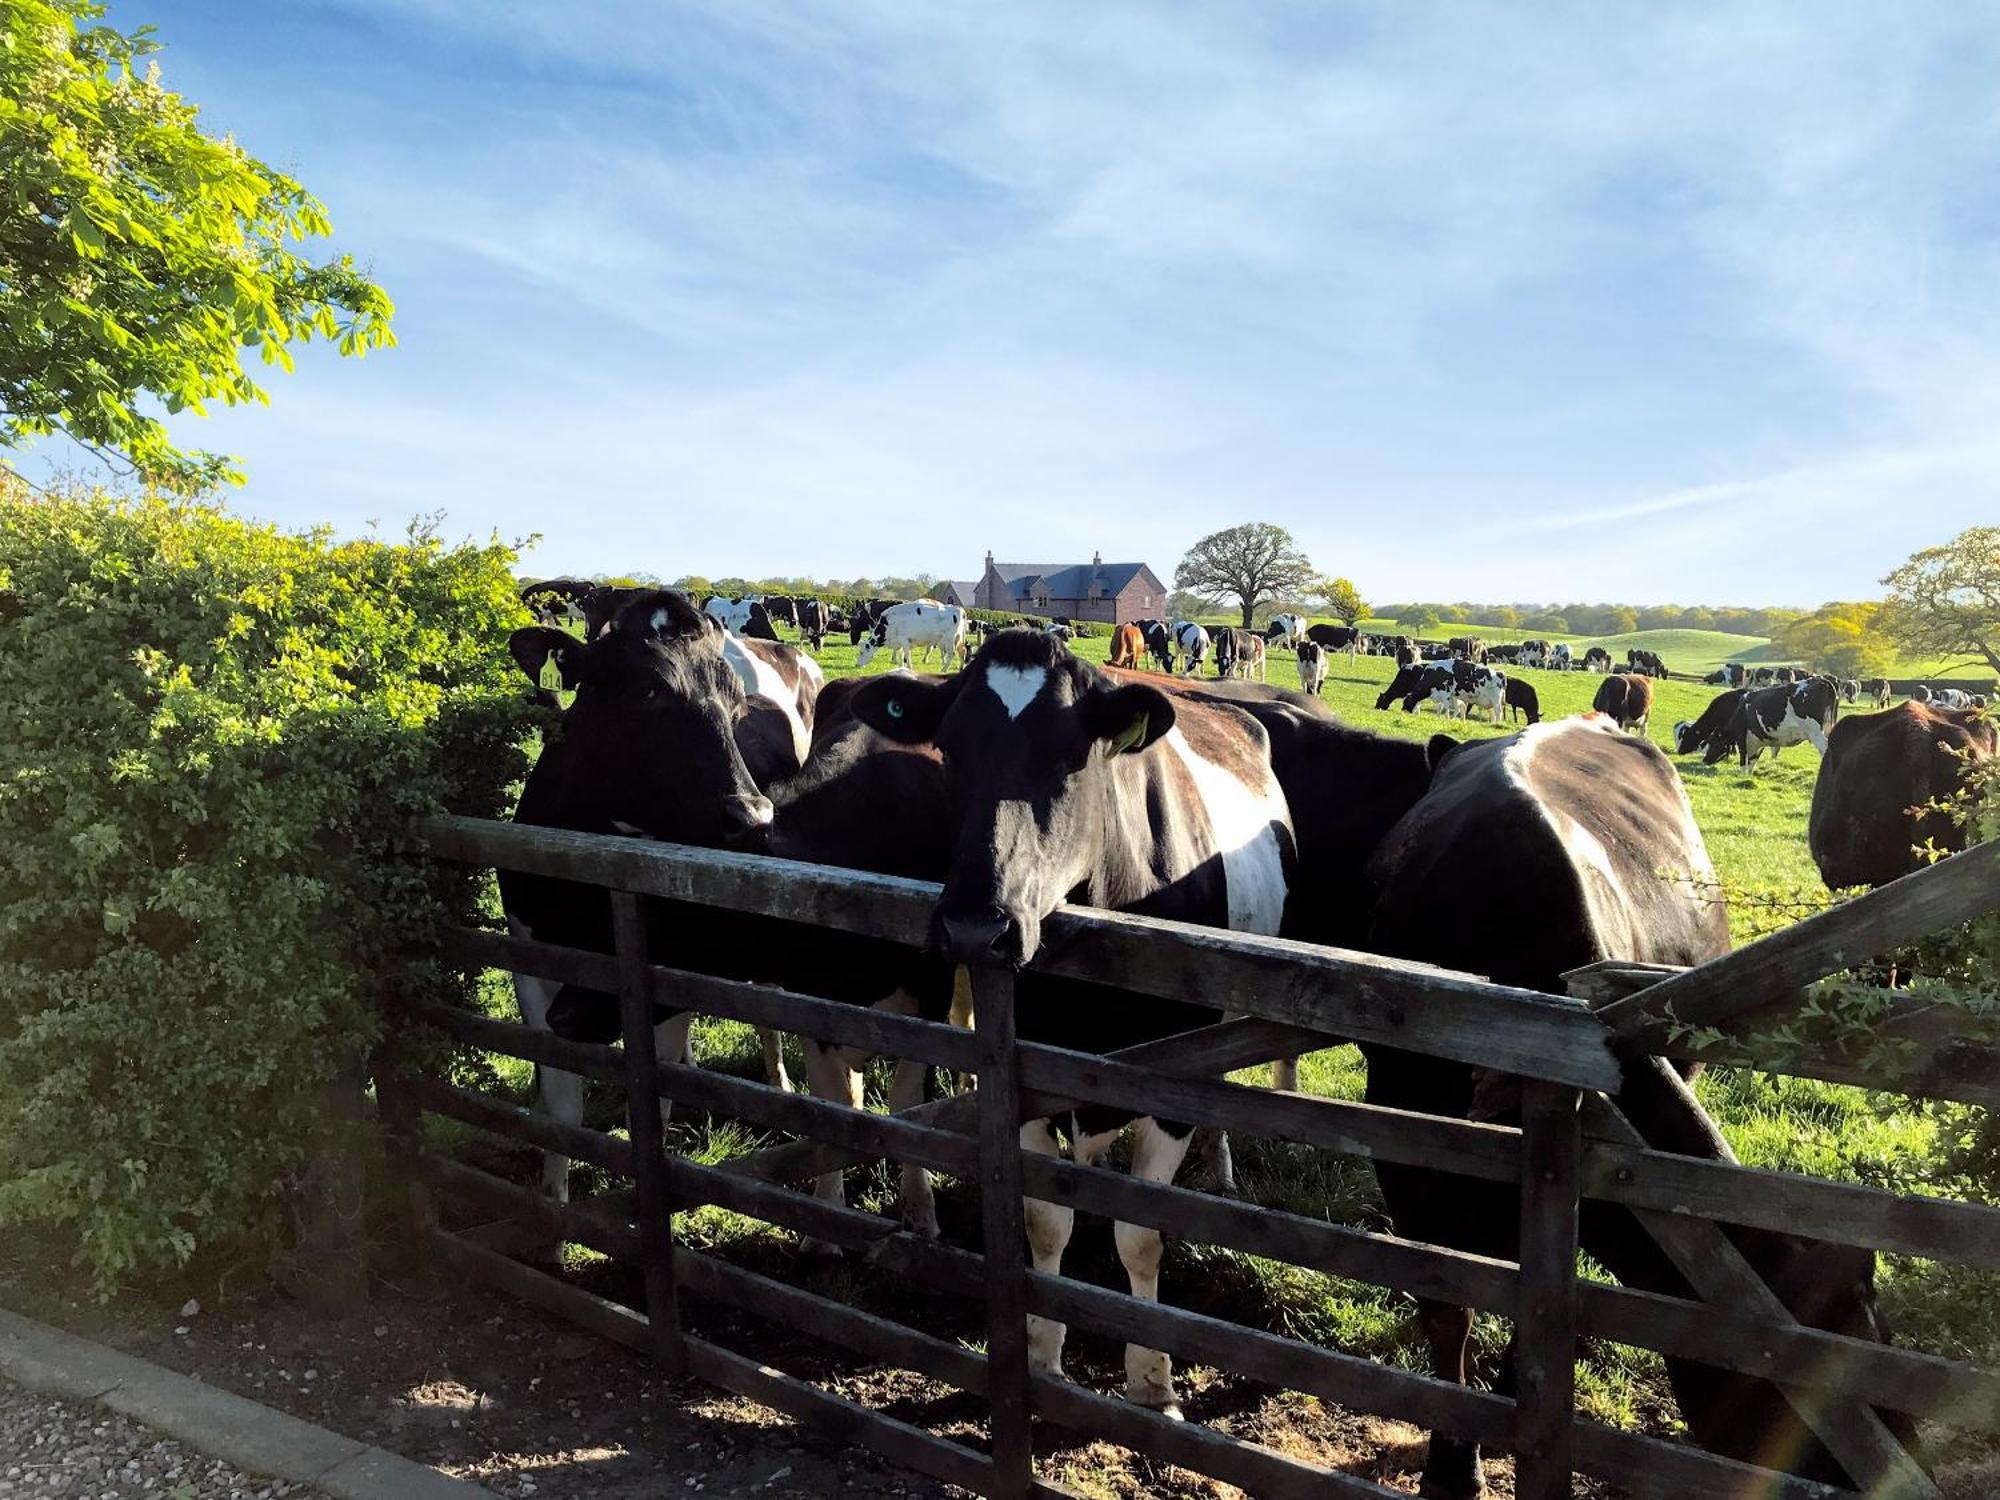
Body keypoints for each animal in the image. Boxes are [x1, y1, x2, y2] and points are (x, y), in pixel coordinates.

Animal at [848, 632, 1296, 1424]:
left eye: (1071, 754)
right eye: (950, 747)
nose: (976, 925)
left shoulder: (1168, 1084)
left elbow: (1141, 1235)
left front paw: (1154, 1383)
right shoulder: (1026, 1080)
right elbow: (1043, 1222)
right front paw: (1044, 1360)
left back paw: (1220, 1171)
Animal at [1704, 680, 1840, 776]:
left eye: (1712, 741)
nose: (1705, 760)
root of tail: (1822, 680)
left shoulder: (1741, 737)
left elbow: (1743, 759)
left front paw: (1741, 775)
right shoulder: (1759, 739)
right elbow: (1752, 760)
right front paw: (1748, 776)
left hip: (1816, 733)